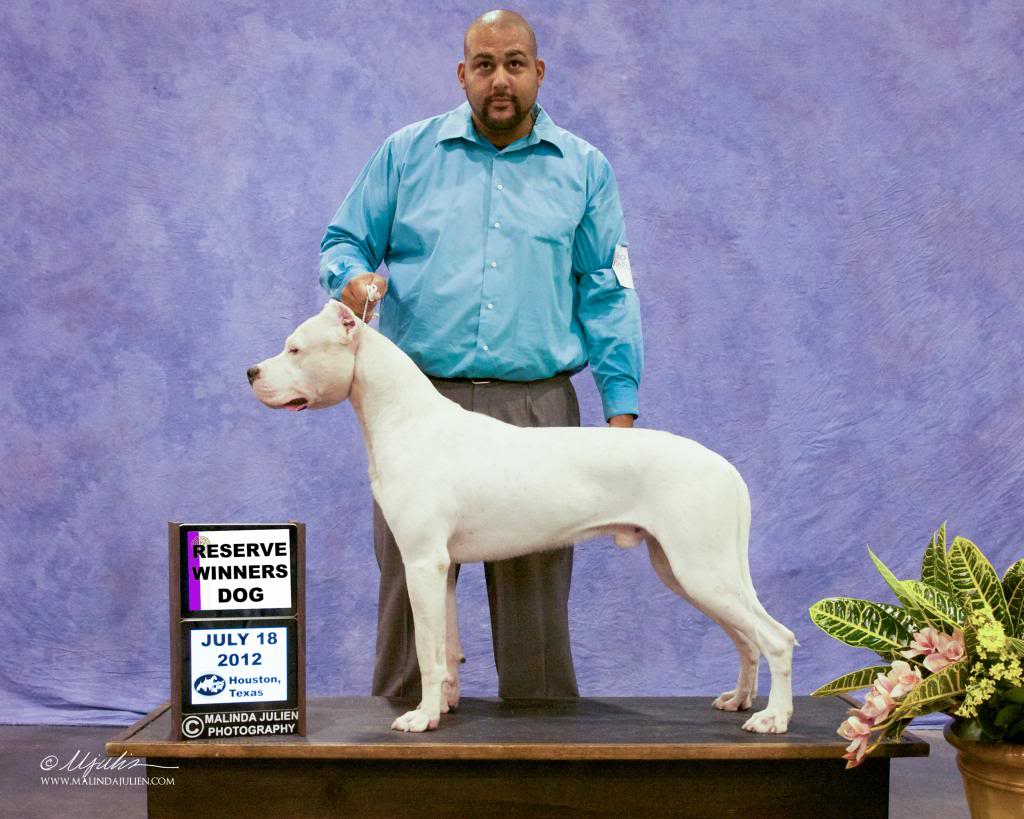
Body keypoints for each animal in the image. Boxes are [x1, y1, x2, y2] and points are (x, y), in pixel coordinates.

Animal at [249, 303, 798, 737]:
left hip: (701, 568)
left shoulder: (422, 563)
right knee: (746, 638)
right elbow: (447, 646)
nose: (252, 372)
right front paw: (445, 704)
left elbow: (427, 648)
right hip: (689, 570)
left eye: (295, 350)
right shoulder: (442, 569)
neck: (407, 418)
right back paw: (739, 699)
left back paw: (773, 718)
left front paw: (421, 717)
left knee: (775, 639)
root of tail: (724, 466)